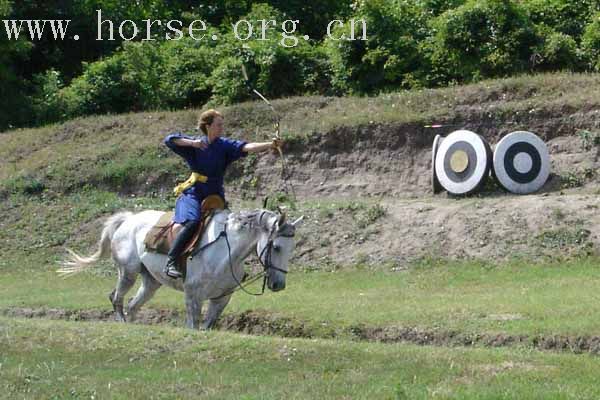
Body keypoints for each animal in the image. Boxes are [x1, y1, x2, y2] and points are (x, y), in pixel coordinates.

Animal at [58, 208, 302, 330]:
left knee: (133, 306)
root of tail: (129, 219)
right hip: (128, 272)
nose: (279, 284)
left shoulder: (220, 299)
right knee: (116, 298)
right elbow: (193, 325)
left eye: (292, 248)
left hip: (151, 282)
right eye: (277, 247)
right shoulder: (193, 296)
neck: (225, 253)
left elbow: (206, 326)